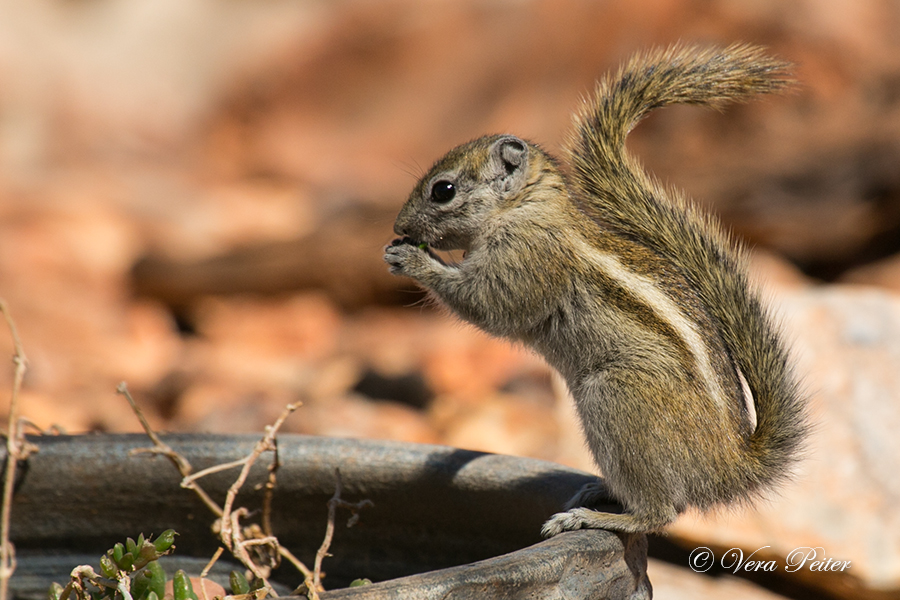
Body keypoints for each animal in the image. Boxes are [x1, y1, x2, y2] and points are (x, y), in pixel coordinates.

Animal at [384, 45, 804, 536]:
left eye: (443, 190)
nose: (399, 226)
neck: (526, 208)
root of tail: (730, 465)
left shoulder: (527, 262)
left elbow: (489, 306)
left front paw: (411, 260)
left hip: (617, 397)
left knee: (659, 513)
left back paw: (590, 517)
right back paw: (597, 491)